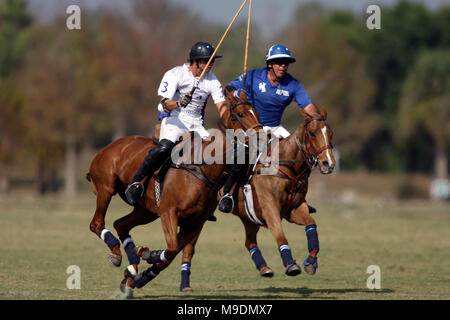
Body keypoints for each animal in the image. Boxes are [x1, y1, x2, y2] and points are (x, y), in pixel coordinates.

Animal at [86, 89, 262, 290]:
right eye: (240, 114)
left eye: (257, 112)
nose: (261, 136)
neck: (203, 167)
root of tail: (108, 147)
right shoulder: (169, 211)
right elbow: (171, 248)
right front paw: (147, 255)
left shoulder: (195, 222)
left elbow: (173, 252)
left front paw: (137, 274)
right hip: (106, 189)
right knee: (97, 224)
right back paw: (116, 252)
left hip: (146, 211)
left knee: (120, 224)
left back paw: (131, 265)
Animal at [178, 107, 336, 290]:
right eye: (312, 133)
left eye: (330, 133)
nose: (328, 164)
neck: (286, 168)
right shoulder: (270, 209)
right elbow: (280, 235)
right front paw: (291, 264)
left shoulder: (295, 208)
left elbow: (312, 224)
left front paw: (311, 261)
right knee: (189, 247)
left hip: (248, 216)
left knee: (249, 242)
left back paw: (264, 268)